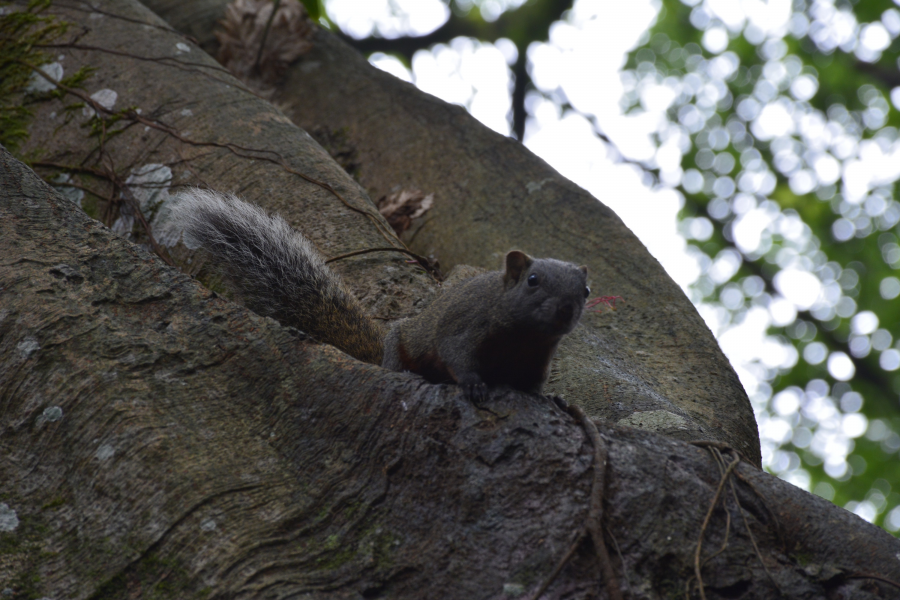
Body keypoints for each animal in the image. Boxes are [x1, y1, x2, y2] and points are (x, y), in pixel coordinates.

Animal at [173, 190, 596, 400]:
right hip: (399, 346)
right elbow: (457, 354)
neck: (524, 338)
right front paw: (475, 384)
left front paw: (549, 398)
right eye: (533, 280)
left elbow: (534, 383)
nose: (566, 309)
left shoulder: (539, 358)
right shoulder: (467, 326)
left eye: (587, 291)